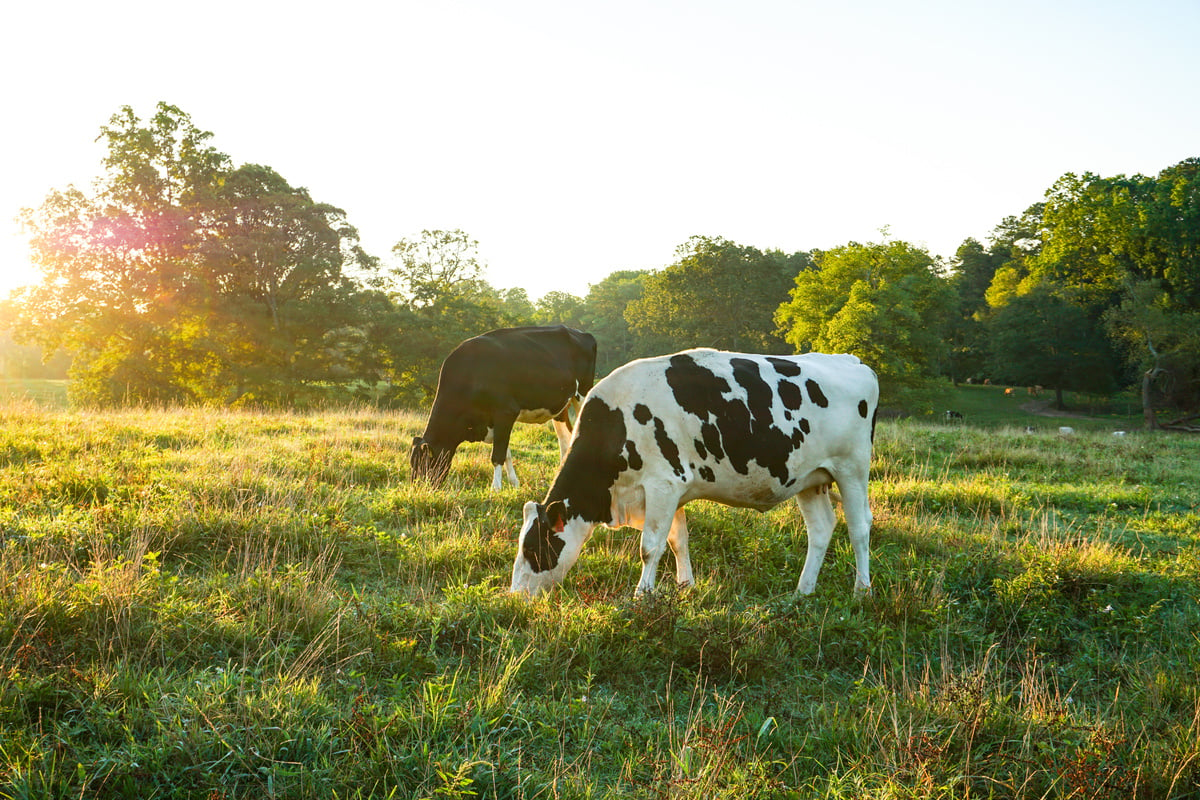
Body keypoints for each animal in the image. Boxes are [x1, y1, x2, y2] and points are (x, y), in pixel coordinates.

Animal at [412, 323, 600, 489]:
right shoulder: (497, 420)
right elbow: (506, 453)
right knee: (565, 439)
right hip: (560, 406)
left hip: (583, 394)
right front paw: (514, 483)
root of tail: (583, 334)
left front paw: (495, 488)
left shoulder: (506, 412)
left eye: (424, 464)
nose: (419, 490)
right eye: (413, 465)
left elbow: (498, 455)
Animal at [508, 347, 883, 597]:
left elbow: (650, 546)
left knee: (859, 527)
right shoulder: (673, 490)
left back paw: (861, 590)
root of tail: (850, 360)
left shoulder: (661, 485)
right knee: (821, 529)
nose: (515, 597)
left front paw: (641, 597)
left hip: (852, 468)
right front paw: (685, 585)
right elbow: (677, 541)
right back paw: (802, 593)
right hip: (809, 478)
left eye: (533, 549)